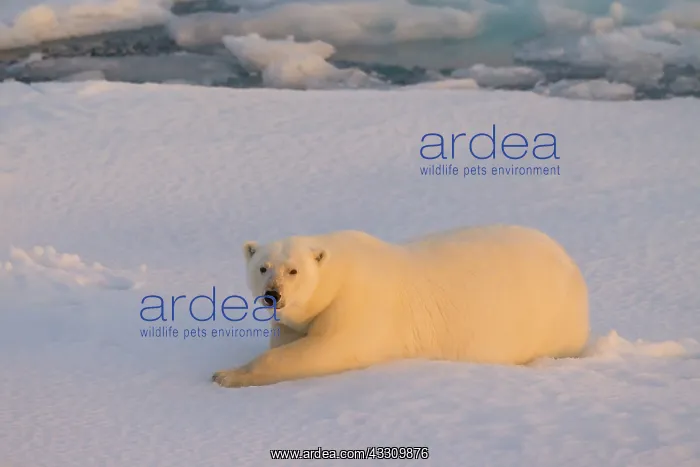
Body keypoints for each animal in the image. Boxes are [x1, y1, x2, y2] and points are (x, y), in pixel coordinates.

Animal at [212, 224, 590, 388]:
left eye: (293, 270)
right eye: (263, 267)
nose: (272, 295)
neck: (339, 271)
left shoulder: (360, 304)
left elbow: (327, 350)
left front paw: (226, 374)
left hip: (551, 317)